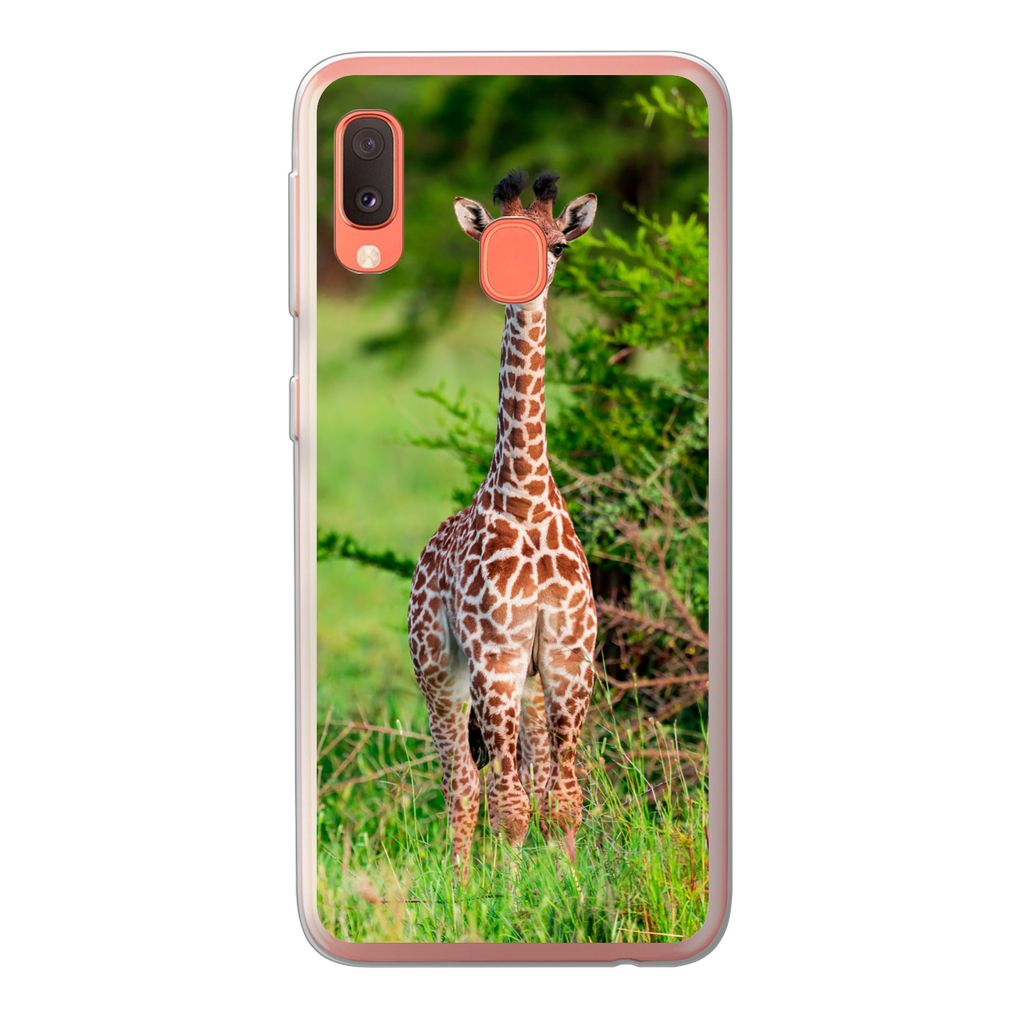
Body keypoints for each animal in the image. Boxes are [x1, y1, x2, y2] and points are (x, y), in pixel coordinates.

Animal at [407, 170, 599, 875]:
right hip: (440, 671)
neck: (527, 494)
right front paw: (510, 893)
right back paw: (463, 886)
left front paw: (569, 884)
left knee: (530, 775)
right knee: (463, 783)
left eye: (558, 245)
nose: (529, 283)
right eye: (496, 244)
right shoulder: (495, 655)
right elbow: (509, 808)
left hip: (530, 686)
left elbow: (561, 799)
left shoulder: (568, 656)